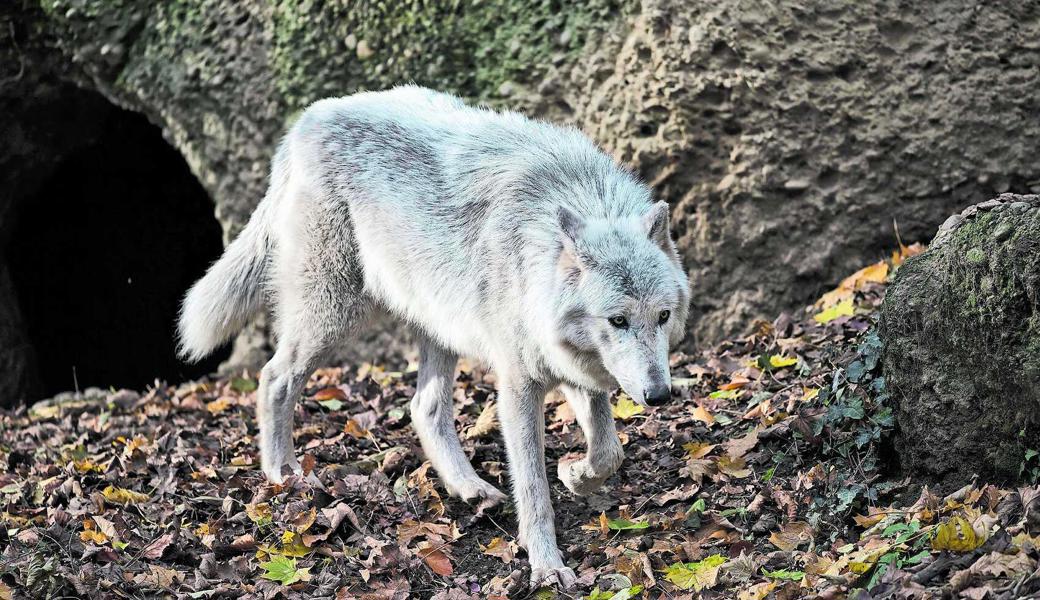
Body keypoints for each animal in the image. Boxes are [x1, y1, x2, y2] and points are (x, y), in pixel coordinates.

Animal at [180, 85, 690, 590]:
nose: (659, 395)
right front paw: (547, 565)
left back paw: (470, 488)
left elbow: (609, 452)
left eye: (662, 316)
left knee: (423, 407)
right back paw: (282, 472)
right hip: (335, 315)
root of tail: (309, 120)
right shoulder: (519, 383)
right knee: (274, 377)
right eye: (618, 321)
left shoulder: (572, 364)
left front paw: (575, 474)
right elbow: (532, 486)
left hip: (436, 326)